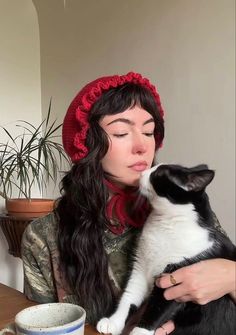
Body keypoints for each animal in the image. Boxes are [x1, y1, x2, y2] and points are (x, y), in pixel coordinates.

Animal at [96, 165, 236, 335]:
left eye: (158, 174)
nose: (142, 173)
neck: (166, 223)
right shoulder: (140, 268)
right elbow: (129, 296)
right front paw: (113, 322)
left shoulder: (178, 282)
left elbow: (156, 311)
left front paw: (137, 331)